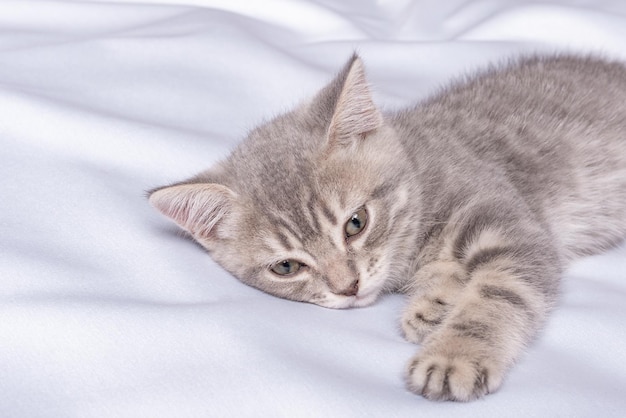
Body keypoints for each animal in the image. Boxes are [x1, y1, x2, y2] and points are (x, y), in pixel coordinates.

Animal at [150, 54, 624, 402]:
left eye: (355, 223)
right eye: (286, 267)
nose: (348, 287)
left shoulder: (511, 228)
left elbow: (499, 291)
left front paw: (454, 354)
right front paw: (436, 304)